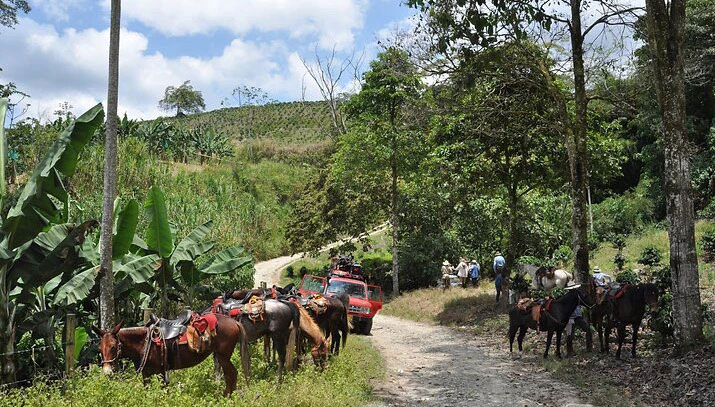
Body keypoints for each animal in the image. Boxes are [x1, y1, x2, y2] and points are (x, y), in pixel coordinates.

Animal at [94, 314, 243, 396]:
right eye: (99, 349)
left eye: (113, 347)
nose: (107, 371)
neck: (143, 342)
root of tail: (234, 321)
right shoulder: (146, 374)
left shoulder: (161, 372)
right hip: (220, 355)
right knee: (230, 375)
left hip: (223, 356)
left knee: (231, 374)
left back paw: (227, 397)